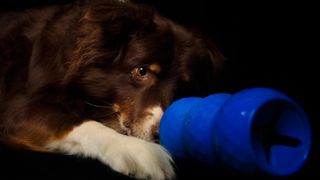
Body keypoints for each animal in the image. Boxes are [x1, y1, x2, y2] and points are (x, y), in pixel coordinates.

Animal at [0, 0, 224, 179]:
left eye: (184, 87)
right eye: (142, 71)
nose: (159, 135)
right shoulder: (16, 110)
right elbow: (81, 123)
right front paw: (138, 151)